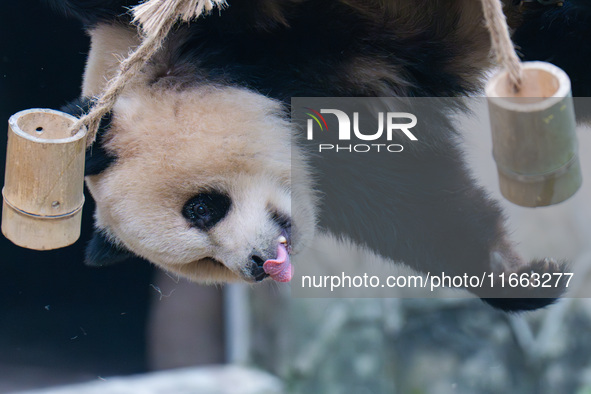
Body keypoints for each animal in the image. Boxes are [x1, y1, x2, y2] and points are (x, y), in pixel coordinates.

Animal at [42, 0, 591, 312]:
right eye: (207, 261)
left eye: (200, 209)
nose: (258, 265)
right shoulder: (340, 153)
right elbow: (420, 208)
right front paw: (521, 279)